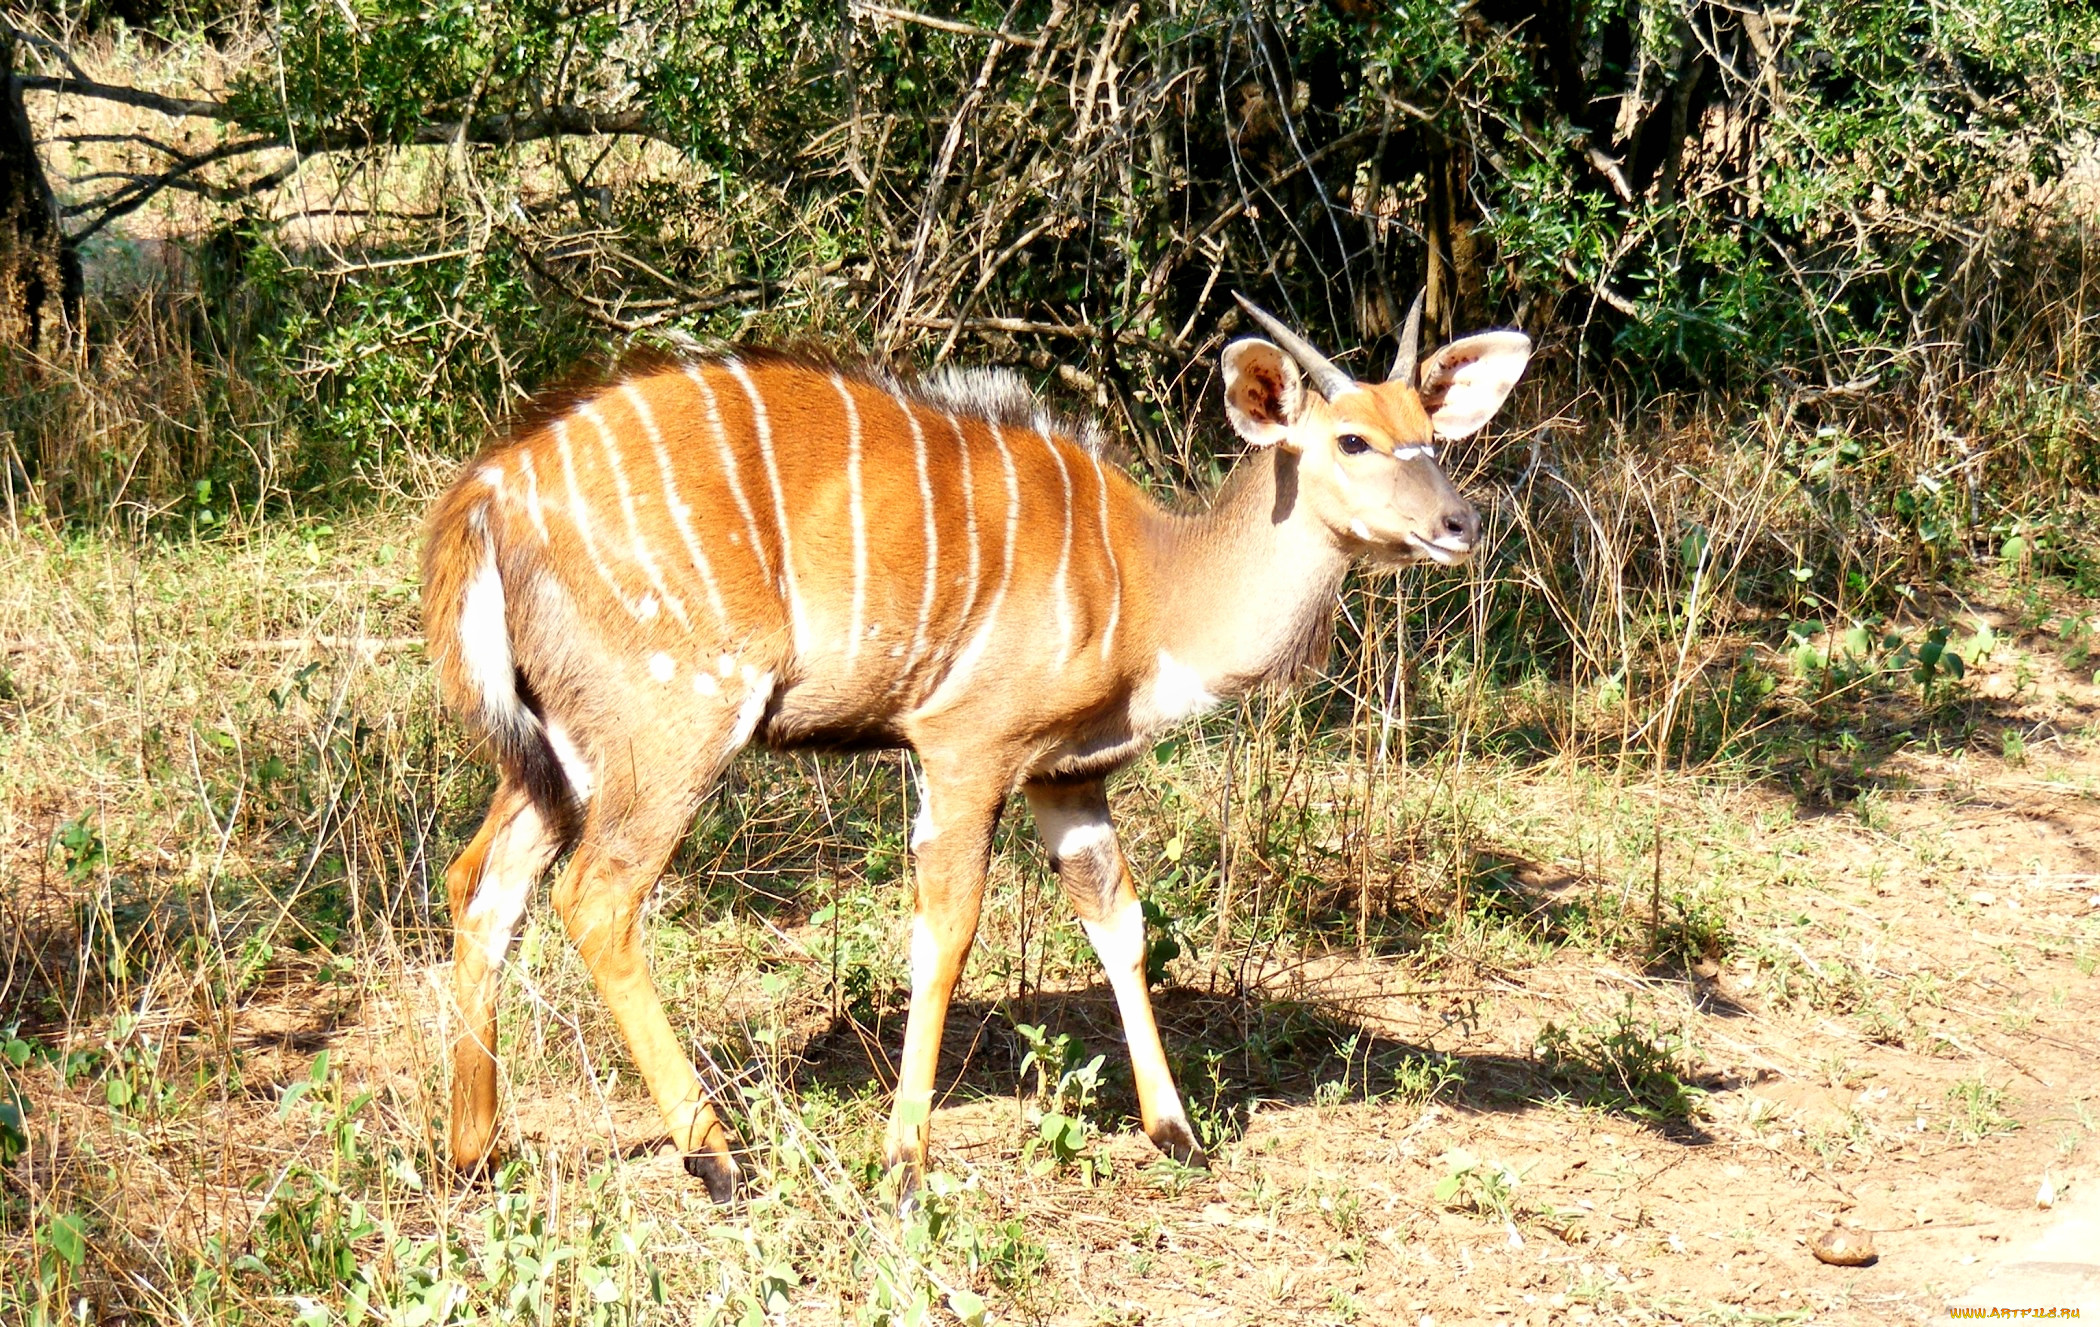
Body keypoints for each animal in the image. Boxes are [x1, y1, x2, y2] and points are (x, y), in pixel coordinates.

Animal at [426, 289, 1537, 1201]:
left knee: (482, 880)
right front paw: (905, 1162)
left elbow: (1120, 924)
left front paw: (1176, 1133)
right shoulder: (963, 750)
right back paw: (718, 1154)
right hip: (678, 721)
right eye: (1351, 440)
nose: (1461, 521)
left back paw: (476, 1152)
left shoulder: (1067, 778)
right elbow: (945, 932)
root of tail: (491, 489)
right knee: (596, 896)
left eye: (1429, 431)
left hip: (567, 747)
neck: (1147, 583)